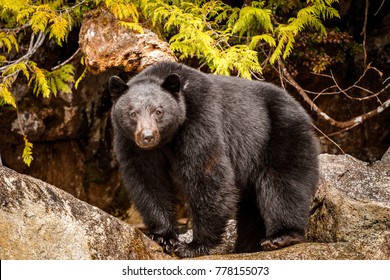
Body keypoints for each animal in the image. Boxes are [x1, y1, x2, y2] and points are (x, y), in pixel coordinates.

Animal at [108, 61, 318, 258]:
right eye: (132, 113)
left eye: (159, 111)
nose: (147, 137)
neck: (168, 138)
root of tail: (299, 106)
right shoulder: (131, 143)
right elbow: (148, 180)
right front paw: (163, 236)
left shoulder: (200, 118)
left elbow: (206, 174)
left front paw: (192, 245)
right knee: (251, 205)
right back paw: (248, 245)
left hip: (280, 133)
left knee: (283, 183)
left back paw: (281, 236)